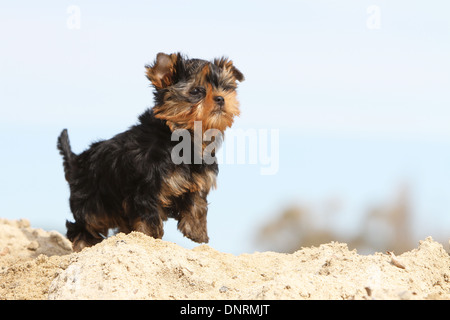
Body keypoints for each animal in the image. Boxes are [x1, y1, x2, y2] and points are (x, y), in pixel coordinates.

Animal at [59, 53, 246, 252]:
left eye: (226, 88)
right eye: (197, 90)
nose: (221, 98)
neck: (181, 136)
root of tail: (76, 161)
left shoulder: (196, 181)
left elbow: (198, 203)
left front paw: (197, 232)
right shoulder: (146, 188)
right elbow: (148, 218)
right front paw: (150, 239)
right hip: (92, 201)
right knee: (83, 225)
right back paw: (83, 245)